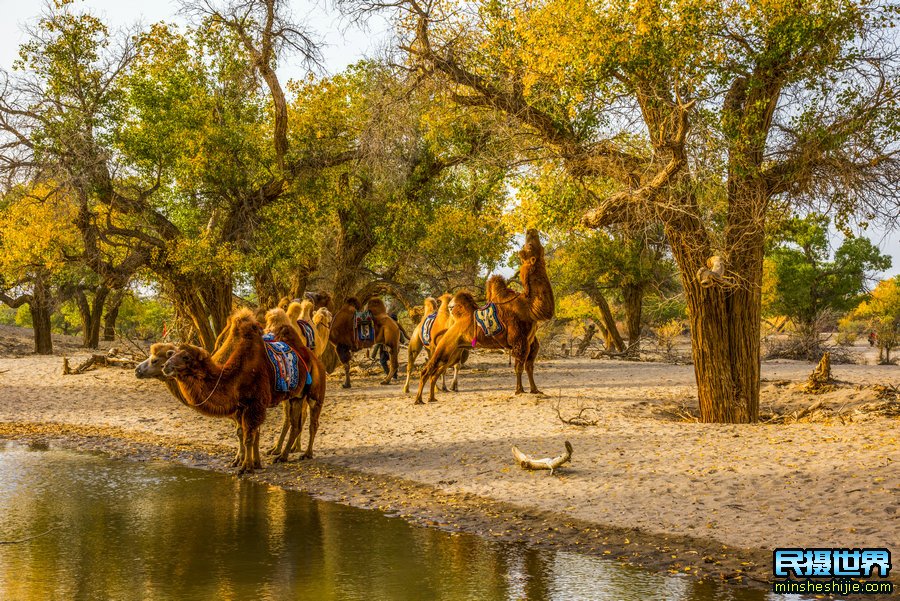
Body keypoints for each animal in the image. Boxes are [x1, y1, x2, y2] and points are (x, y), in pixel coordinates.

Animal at [416, 230, 556, 404]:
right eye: (529, 245)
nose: (531, 231)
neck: (528, 307)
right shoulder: (519, 340)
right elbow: (519, 367)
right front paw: (519, 390)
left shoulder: (531, 343)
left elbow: (529, 367)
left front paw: (535, 390)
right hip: (446, 345)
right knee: (428, 369)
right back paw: (419, 399)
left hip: (455, 350)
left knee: (437, 370)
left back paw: (431, 398)